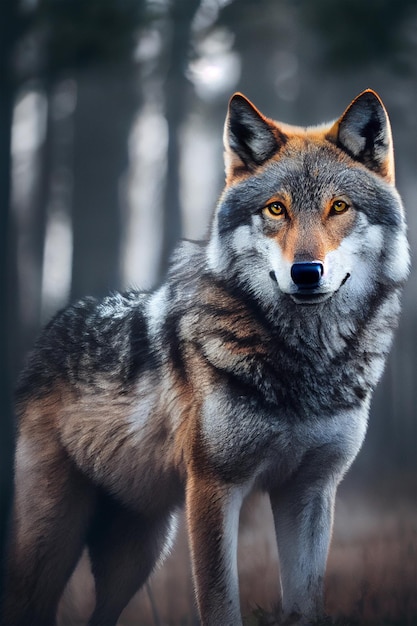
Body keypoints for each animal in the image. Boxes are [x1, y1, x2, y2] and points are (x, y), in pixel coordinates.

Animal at [1, 89, 408, 624]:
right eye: (276, 209)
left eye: (338, 206)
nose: (305, 272)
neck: (307, 361)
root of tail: (55, 325)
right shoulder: (216, 486)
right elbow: (219, 604)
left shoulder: (310, 492)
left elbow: (304, 603)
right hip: (57, 542)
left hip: (138, 553)